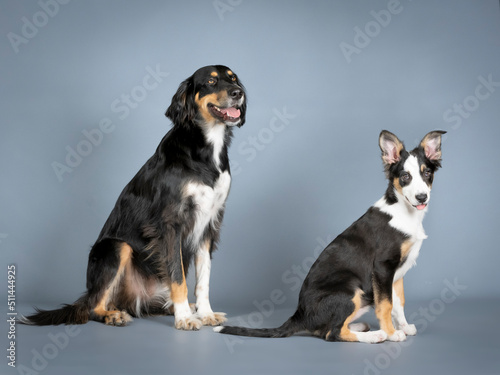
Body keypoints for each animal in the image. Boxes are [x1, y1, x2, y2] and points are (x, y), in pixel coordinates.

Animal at [215, 130, 446, 344]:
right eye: (405, 177)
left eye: (427, 173)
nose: (422, 197)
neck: (404, 211)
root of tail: (300, 315)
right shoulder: (383, 267)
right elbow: (385, 305)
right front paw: (391, 333)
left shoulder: (397, 273)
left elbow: (398, 303)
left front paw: (404, 327)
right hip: (350, 290)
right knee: (332, 333)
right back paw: (375, 335)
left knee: (325, 329)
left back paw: (361, 327)